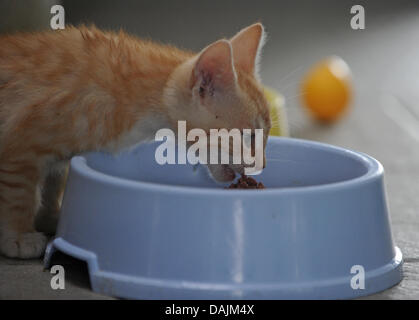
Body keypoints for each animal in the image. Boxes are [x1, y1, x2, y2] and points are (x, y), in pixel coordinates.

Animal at [0, 23, 270, 258]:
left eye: (266, 136)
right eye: (249, 136)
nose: (263, 164)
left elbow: (53, 181)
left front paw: (51, 216)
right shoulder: (19, 142)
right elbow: (18, 193)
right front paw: (19, 235)